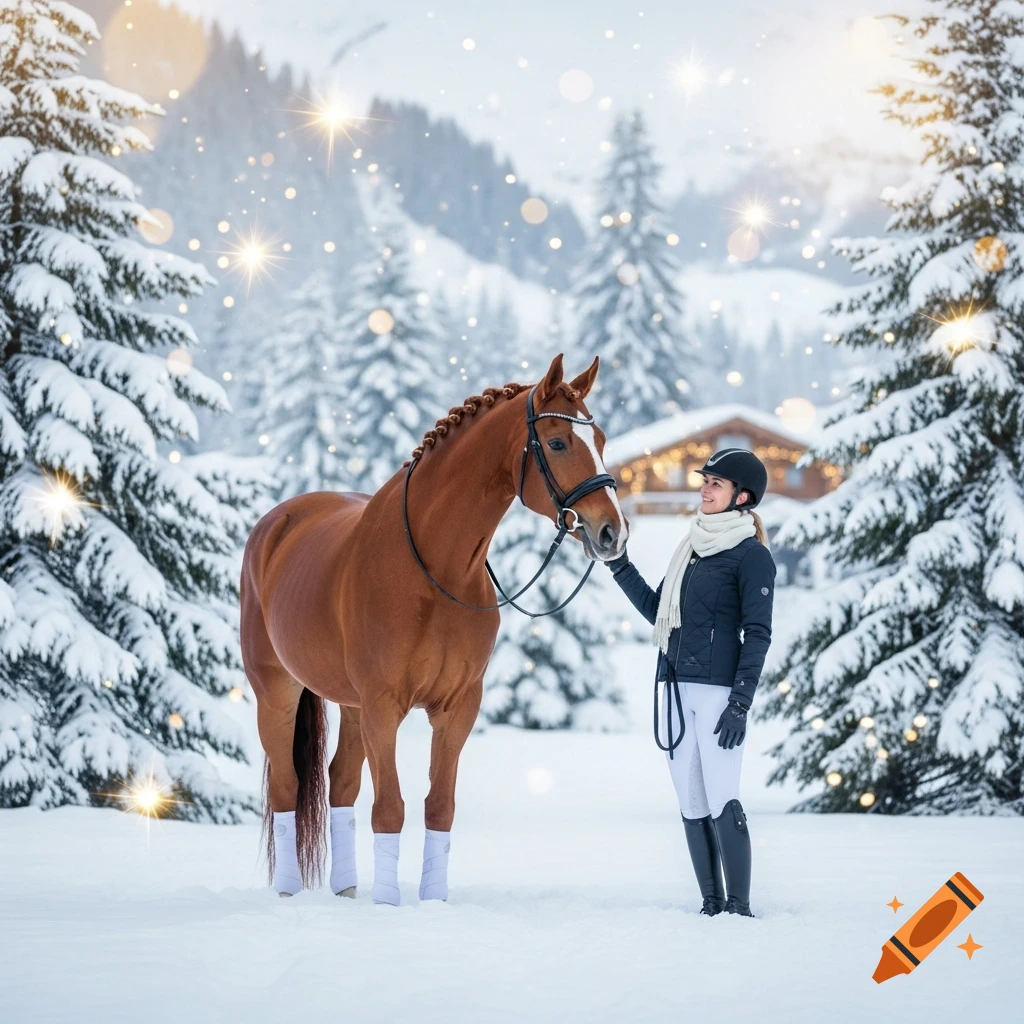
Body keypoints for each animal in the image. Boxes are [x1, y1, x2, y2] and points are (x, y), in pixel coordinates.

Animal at [239, 353, 628, 902]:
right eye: (557, 442)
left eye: (601, 440)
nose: (612, 532)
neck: (435, 567)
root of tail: (276, 523)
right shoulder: (384, 705)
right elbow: (390, 809)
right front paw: (387, 904)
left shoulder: (457, 707)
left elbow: (439, 806)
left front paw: (433, 902)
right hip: (277, 692)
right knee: (288, 787)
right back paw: (291, 893)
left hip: (351, 705)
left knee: (340, 783)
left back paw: (346, 891)